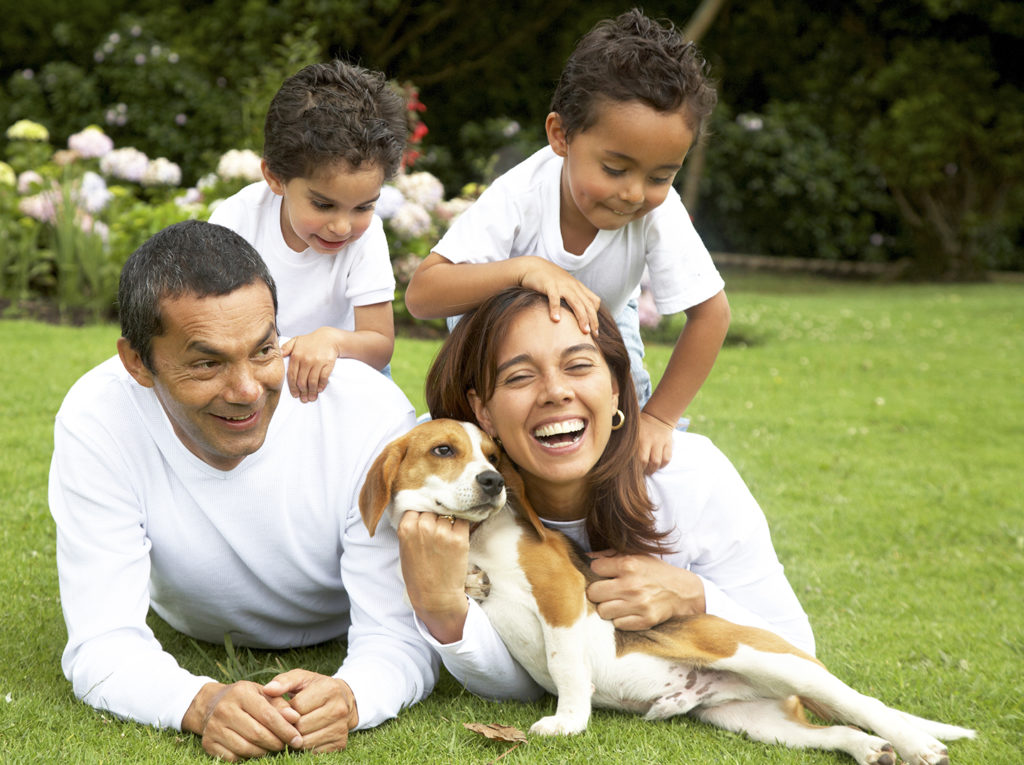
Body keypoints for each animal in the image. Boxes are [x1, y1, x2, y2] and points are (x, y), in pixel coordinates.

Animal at [362, 419, 974, 765]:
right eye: (444, 450)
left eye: (493, 455)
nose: (494, 482)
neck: (477, 539)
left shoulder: (561, 596)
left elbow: (564, 664)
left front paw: (569, 721)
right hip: (755, 723)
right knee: (835, 730)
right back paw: (868, 748)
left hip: (772, 659)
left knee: (863, 703)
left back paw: (916, 744)